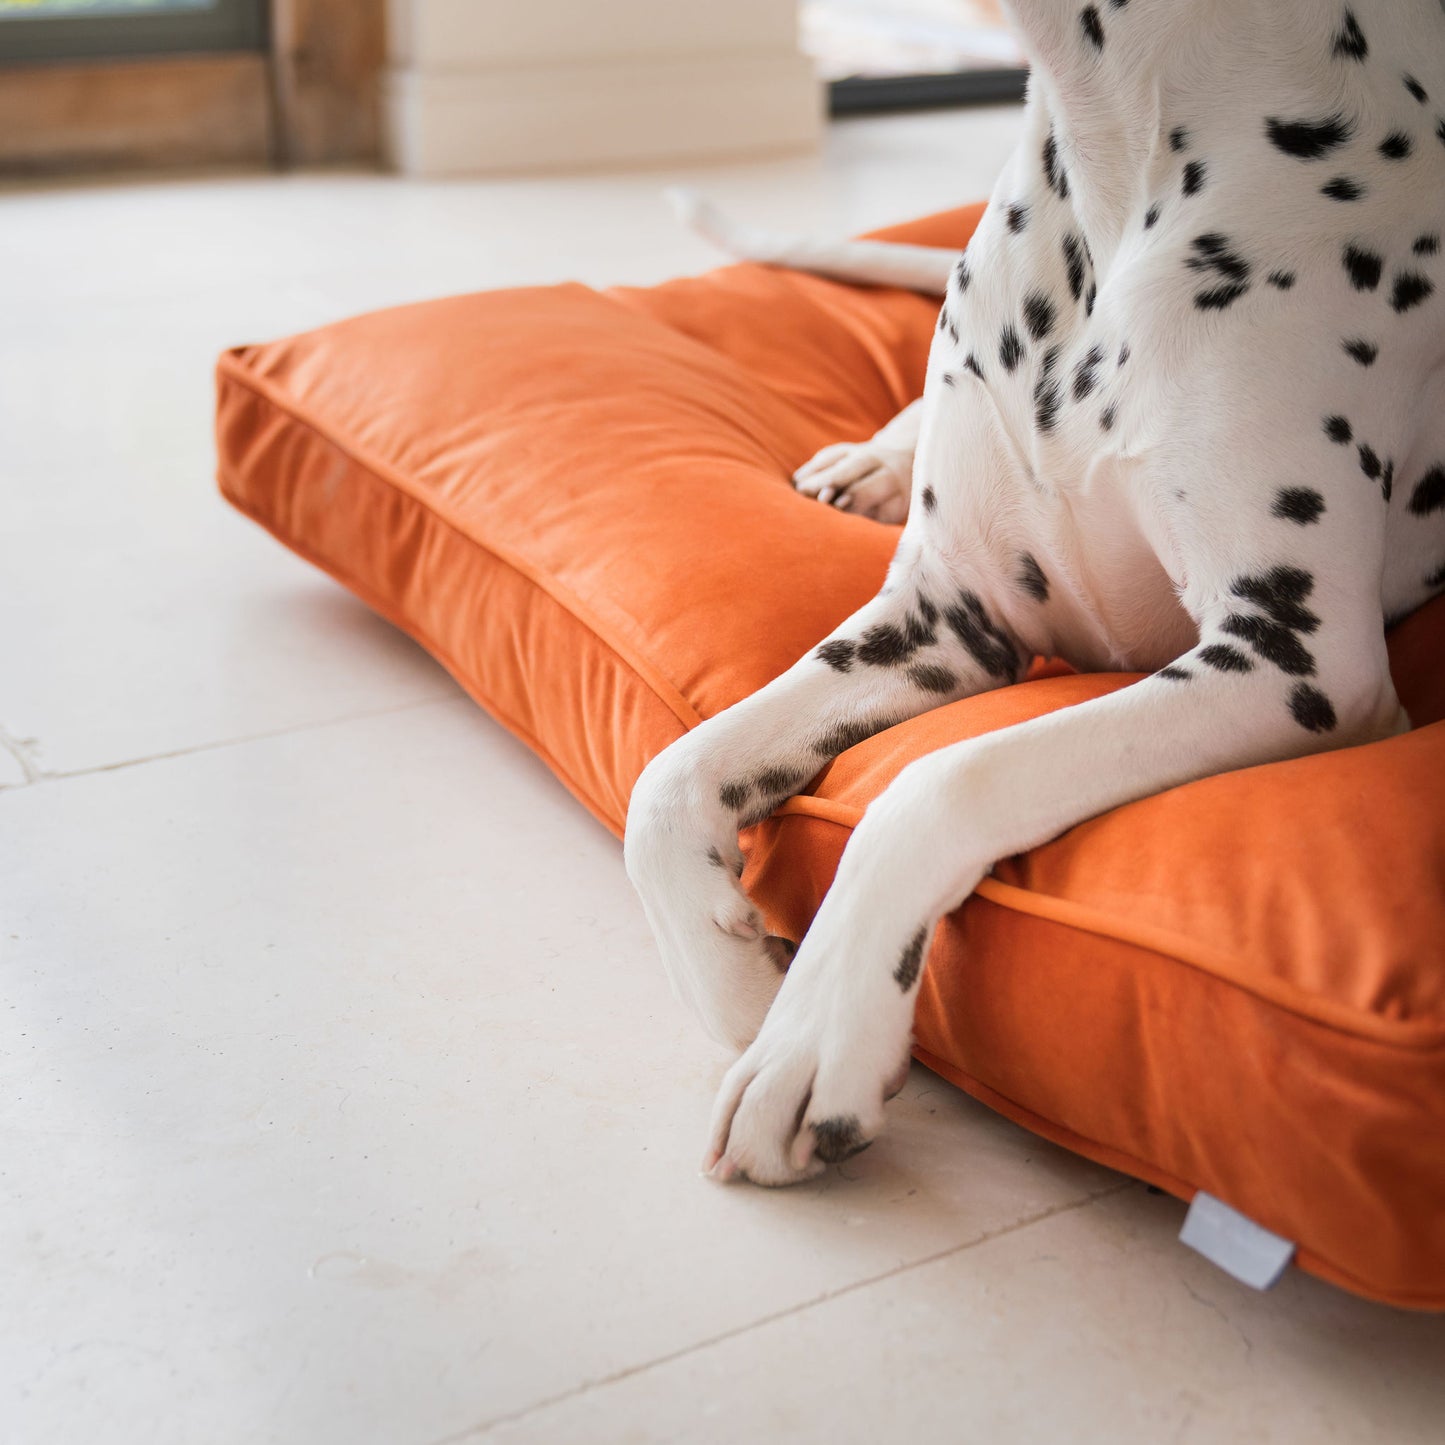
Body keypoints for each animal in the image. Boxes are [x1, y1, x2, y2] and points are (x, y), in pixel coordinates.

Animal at [621, 0, 1445, 1184]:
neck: (1117, 147)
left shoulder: (1296, 662)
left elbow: (943, 779)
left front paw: (811, 1037)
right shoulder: (943, 618)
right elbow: (668, 774)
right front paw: (738, 988)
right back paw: (870, 461)